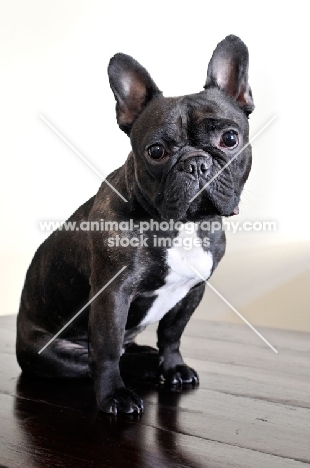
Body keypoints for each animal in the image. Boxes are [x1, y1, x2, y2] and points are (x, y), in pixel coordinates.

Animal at [15, 37, 254, 416]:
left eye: (229, 139)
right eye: (156, 151)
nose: (195, 163)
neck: (181, 226)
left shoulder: (193, 290)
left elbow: (172, 334)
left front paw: (173, 368)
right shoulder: (112, 294)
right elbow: (107, 349)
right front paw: (114, 397)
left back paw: (148, 359)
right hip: (53, 354)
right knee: (98, 359)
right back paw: (138, 368)